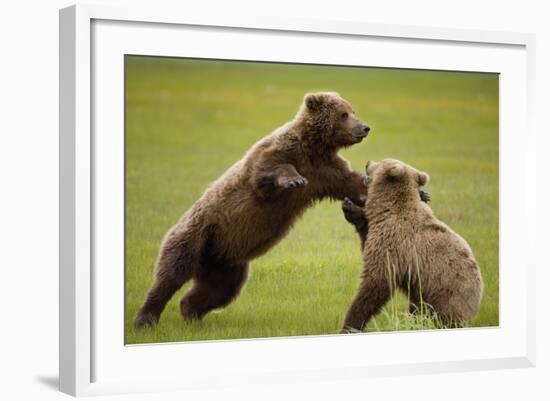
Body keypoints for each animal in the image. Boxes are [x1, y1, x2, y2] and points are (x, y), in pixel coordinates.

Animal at [134, 92, 374, 326]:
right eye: (344, 114)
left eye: (352, 110)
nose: (365, 127)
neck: (314, 147)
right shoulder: (281, 154)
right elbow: (266, 173)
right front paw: (294, 180)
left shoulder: (325, 170)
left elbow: (351, 182)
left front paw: (368, 185)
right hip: (197, 234)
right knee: (172, 272)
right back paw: (146, 317)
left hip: (225, 262)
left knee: (218, 290)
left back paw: (191, 314)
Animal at [342, 159, 486, 332]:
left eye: (382, 161)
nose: (368, 162)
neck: (388, 208)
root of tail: (479, 293)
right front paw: (351, 209)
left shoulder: (394, 244)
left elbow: (376, 282)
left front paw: (350, 325)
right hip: (423, 295)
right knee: (417, 311)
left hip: (447, 295)